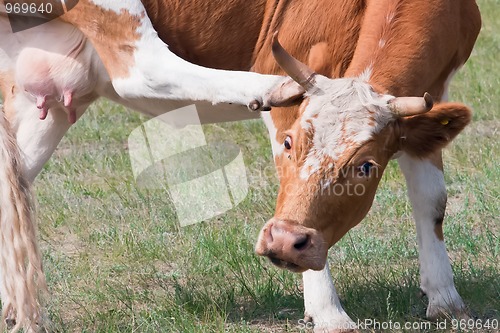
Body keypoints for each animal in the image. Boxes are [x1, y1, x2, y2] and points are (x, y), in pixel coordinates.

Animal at [0, 0, 480, 330]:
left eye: (365, 166)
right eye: (288, 143)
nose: (285, 243)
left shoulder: (433, 97)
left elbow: (432, 201)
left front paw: (444, 298)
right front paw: (329, 313)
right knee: (144, 67)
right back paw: (271, 86)